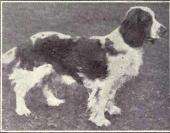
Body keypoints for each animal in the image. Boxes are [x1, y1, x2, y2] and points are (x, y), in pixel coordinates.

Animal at [2, 6, 167, 127]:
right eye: (147, 20)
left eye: (155, 17)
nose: (165, 30)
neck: (125, 43)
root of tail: (25, 42)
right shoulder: (104, 83)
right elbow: (101, 101)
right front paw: (100, 120)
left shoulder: (114, 82)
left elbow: (111, 97)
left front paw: (111, 109)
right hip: (33, 71)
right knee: (19, 89)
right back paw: (22, 110)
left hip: (49, 70)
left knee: (45, 86)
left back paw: (54, 101)